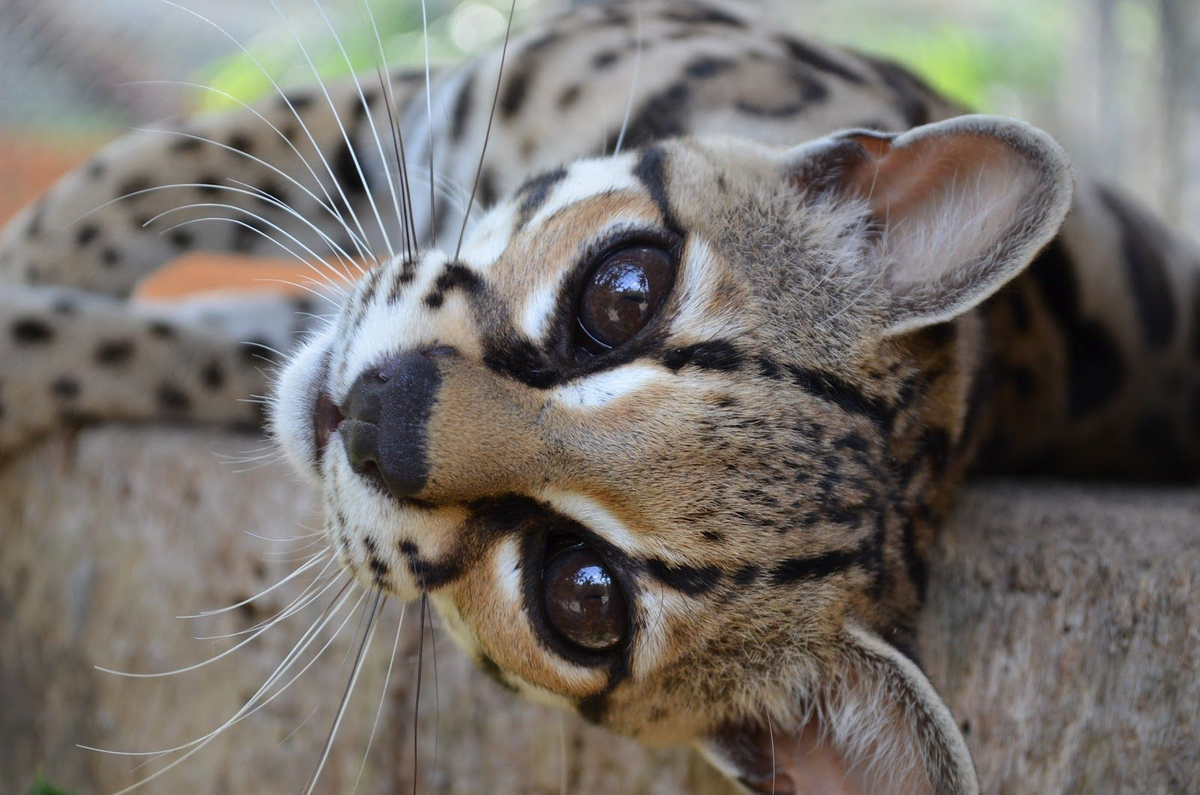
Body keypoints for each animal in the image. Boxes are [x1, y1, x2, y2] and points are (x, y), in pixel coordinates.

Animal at [2, 1, 1200, 795]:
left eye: (583, 597)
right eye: (625, 294)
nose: (385, 419)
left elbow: (161, 343)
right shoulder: (420, 101)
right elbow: (147, 178)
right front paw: (37, 262)